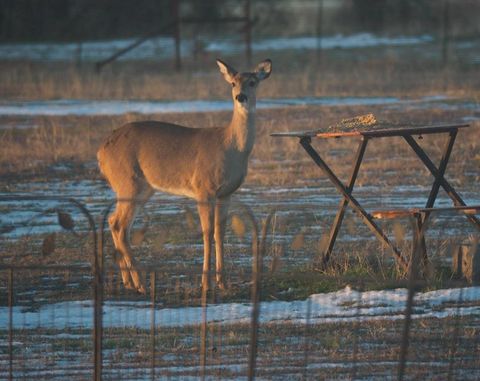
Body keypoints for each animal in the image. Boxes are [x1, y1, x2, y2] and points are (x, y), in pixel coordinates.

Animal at [95, 58, 272, 292]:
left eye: (252, 82)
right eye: (233, 83)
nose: (240, 97)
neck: (231, 147)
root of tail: (101, 151)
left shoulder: (226, 193)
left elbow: (220, 232)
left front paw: (223, 283)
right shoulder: (203, 188)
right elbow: (206, 232)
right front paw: (206, 283)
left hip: (142, 188)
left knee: (114, 221)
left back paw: (129, 282)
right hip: (128, 182)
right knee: (120, 225)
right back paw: (141, 283)